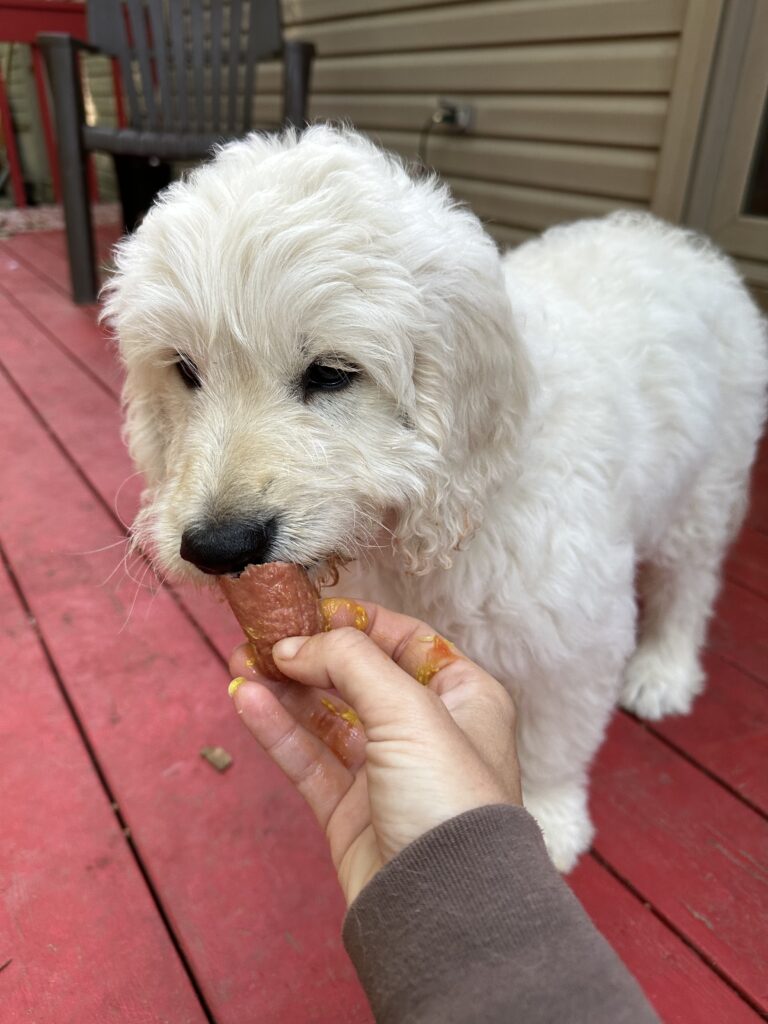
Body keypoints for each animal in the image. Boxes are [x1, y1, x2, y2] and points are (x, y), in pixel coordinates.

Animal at [104, 126, 767, 871]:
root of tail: (679, 241)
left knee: (692, 581)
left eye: (331, 373)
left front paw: (550, 819)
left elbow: (555, 737)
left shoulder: (574, 637)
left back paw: (665, 668)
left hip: (706, 484)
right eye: (185, 370)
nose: (219, 547)